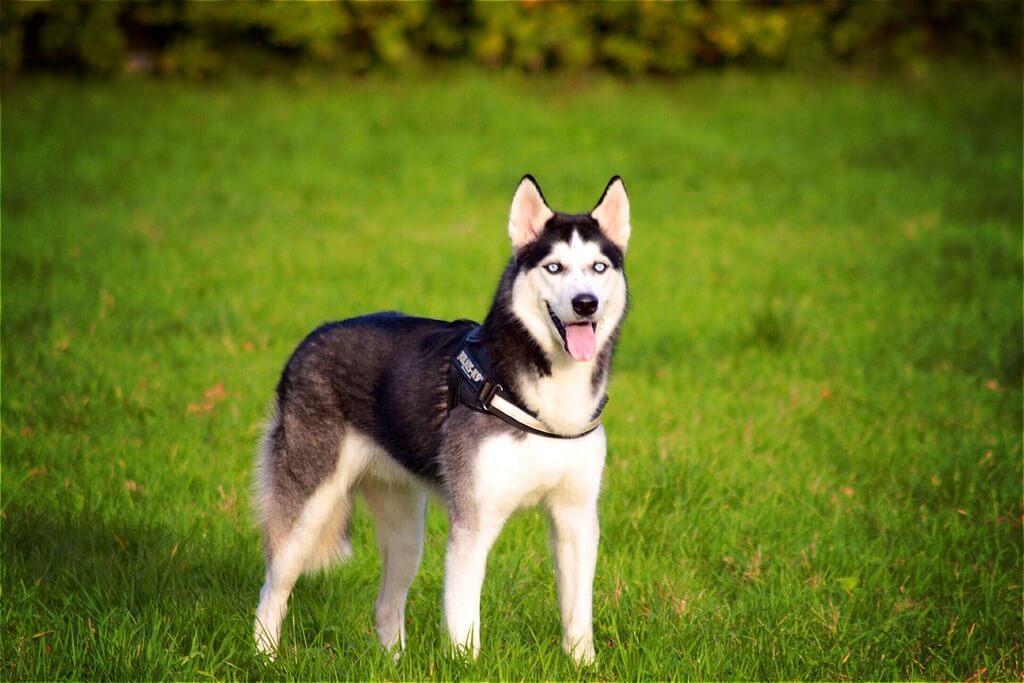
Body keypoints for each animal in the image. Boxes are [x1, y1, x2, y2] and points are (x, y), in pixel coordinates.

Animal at [251, 174, 626, 663]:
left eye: (599, 267)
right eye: (555, 267)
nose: (585, 304)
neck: (546, 397)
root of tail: (308, 340)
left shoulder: (576, 518)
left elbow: (578, 616)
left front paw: (584, 665)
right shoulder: (473, 522)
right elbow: (464, 623)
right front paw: (467, 664)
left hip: (407, 531)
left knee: (386, 606)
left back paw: (393, 664)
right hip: (308, 510)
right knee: (272, 588)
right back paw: (264, 657)